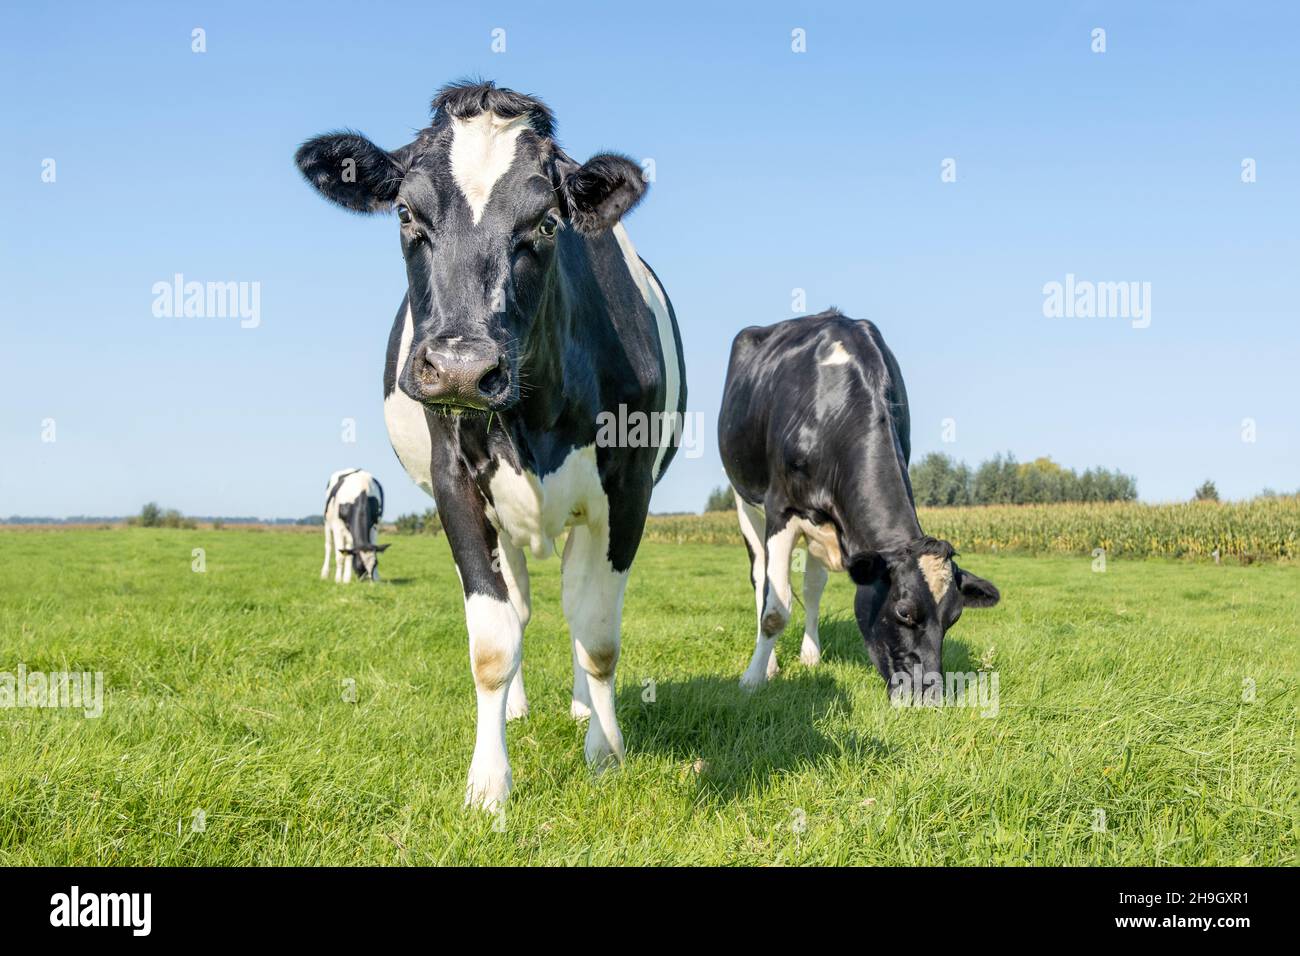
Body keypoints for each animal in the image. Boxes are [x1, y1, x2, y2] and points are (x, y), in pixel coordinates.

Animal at [291, 83, 686, 816]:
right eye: (405, 212)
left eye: (549, 223)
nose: (461, 369)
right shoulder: (456, 486)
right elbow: (494, 644)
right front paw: (488, 784)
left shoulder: (627, 490)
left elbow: (597, 635)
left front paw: (605, 753)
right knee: (523, 606)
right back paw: (522, 709)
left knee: (571, 604)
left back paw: (583, 708)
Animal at [717, 312, 998, 697]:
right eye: (904, 612)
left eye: (953, 618)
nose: (931, 695)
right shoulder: (781, 509)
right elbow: (774, 609)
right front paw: (752, 679)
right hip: (744, 498)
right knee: (762, 578)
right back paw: (769, 664)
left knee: (813, 586)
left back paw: (810, 655)